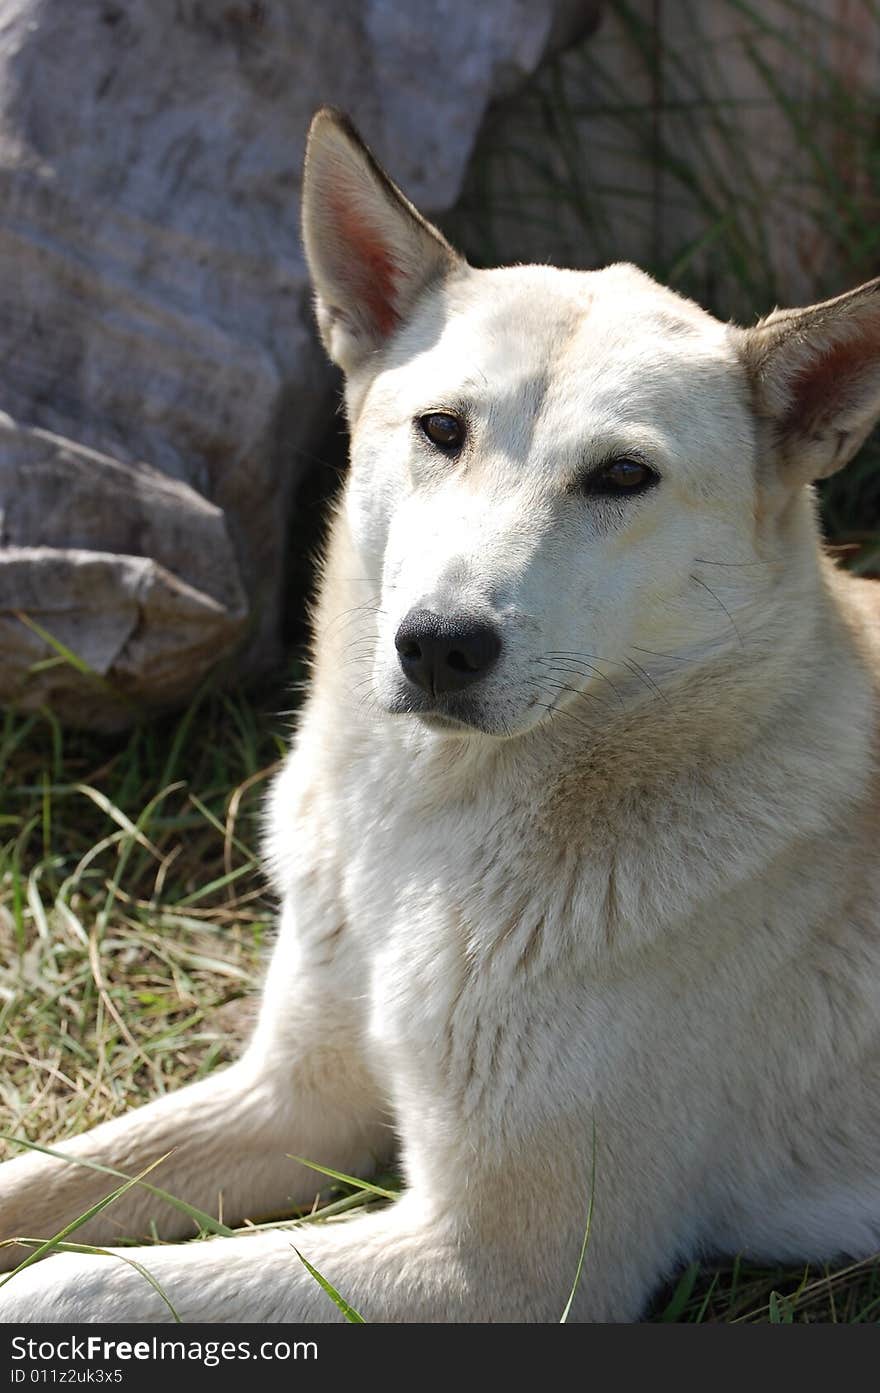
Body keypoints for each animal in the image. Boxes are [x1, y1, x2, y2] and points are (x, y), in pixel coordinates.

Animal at [1, 105, 880, 1314]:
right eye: (441, 430)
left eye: (622, 477)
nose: (438, 646)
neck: (417, 831)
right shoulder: (295, 1095)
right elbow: (39, 1185)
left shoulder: (496, 1264)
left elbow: (70, 1283)